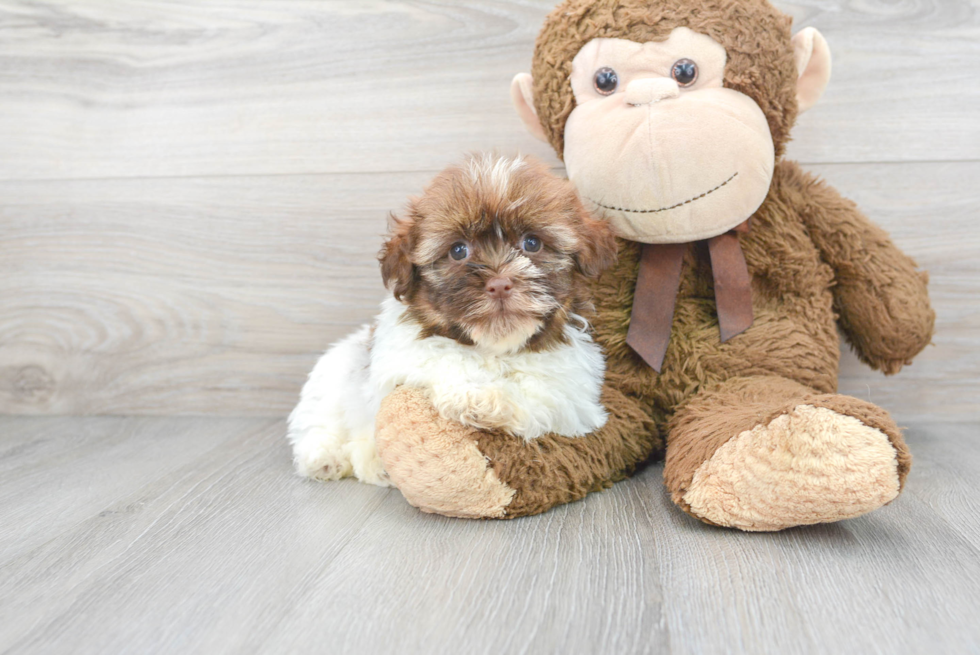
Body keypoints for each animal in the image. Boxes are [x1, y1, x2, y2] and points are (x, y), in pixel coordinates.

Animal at [288, 155, 616, 486]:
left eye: (532, 243)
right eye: (458, 250)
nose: (500, 284)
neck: (494, 347)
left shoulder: (575, 397)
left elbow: (542, 396)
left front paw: (484, 402)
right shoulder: (402, 356)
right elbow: (441, 363)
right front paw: (468, 395)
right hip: (333, 374)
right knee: (320, 418)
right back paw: (325, 457)